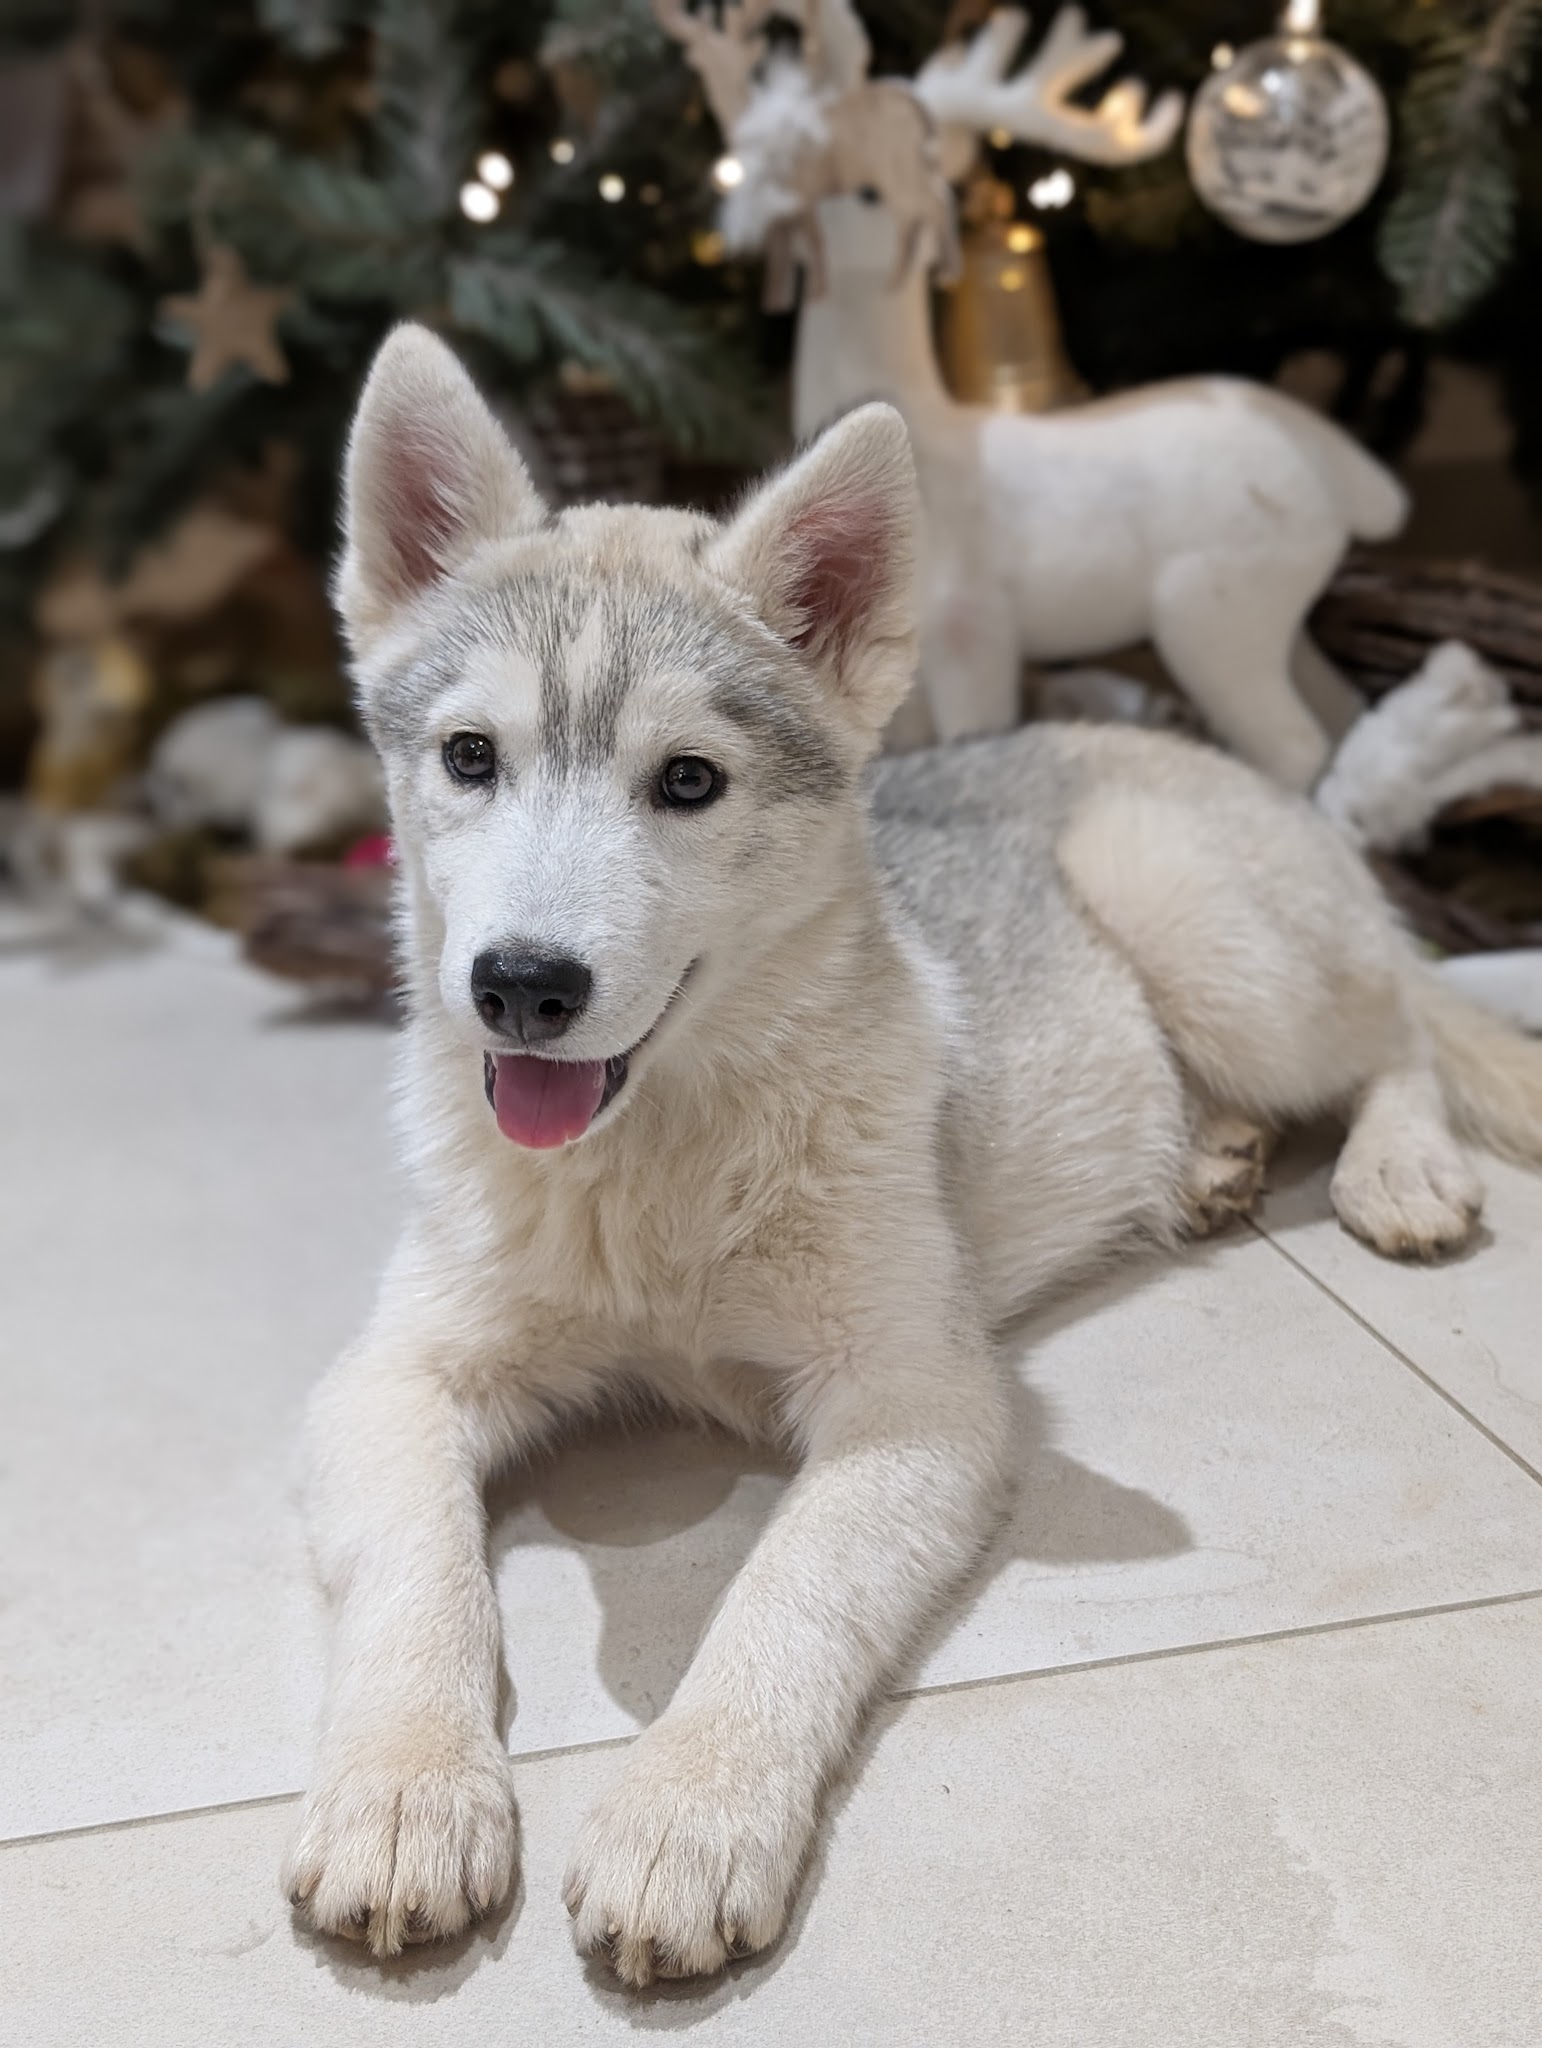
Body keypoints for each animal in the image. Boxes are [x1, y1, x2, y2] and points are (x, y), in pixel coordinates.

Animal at [284, 324, 1542, 1987]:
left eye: (687, 782)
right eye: (471, 757)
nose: (522, 988)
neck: (659, 1159)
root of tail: (1164, 738)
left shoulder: (916, 1398)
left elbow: (784, 1591)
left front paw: (689, 1814)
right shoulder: (391, 1378)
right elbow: (415, 1575)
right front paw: (402, 1789)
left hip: (1211, 936)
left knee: (1398, 1025)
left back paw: (1393, 1168)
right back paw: (1205, 1155)